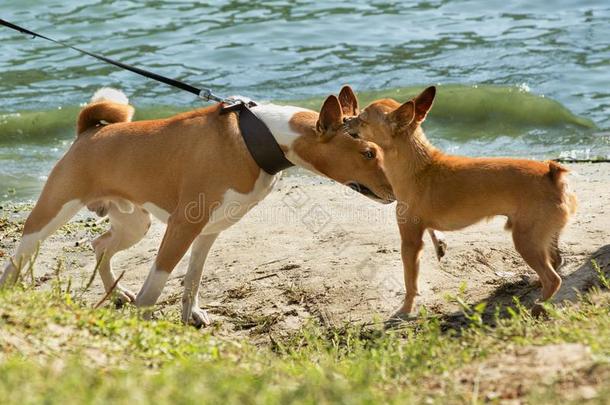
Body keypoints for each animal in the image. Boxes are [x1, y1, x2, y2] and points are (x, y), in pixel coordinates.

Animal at [0, 87, 442, 326]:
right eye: (368, 153)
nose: (396, 190)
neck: (257, 136)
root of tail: (90, 131)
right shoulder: (182, 226)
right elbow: (158, 282)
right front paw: (144, 318)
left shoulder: (207, 231)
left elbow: (192, 279)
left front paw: (189, 314)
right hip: (53, 211)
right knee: (19, 255)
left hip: (133, 224)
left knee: (100, 245)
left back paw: (116, 291)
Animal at [342, 85, 576, 318]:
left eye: (362, 118)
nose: (346, 119)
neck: (418, 166)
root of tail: (552, 174)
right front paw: (439, 243)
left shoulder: (410, 242)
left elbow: (410, 281)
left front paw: (405, 309)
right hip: (541, 236)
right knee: (555, 261)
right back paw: (536, 285)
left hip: (526, 240)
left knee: (553, 279)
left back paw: (538, 306)